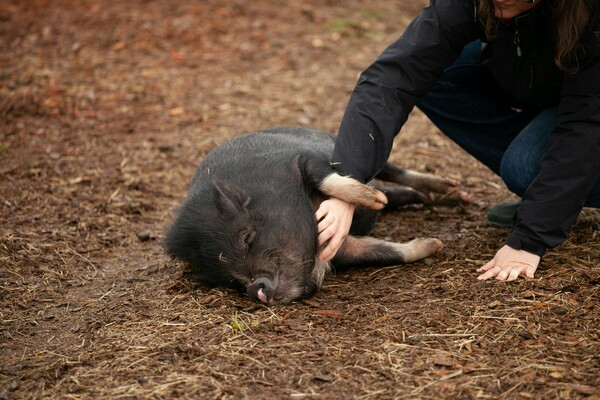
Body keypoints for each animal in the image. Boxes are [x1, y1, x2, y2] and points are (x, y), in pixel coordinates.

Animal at [164, 126, 468, 304]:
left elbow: (327, 178)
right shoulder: (343, 249)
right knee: (397, 192)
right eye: (228, 279)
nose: (255, 289)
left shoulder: (304, 159)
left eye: (247, 237)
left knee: (394, 171)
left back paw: (453, 192)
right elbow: (387, 253)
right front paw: (434, 244)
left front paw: (373, 201)